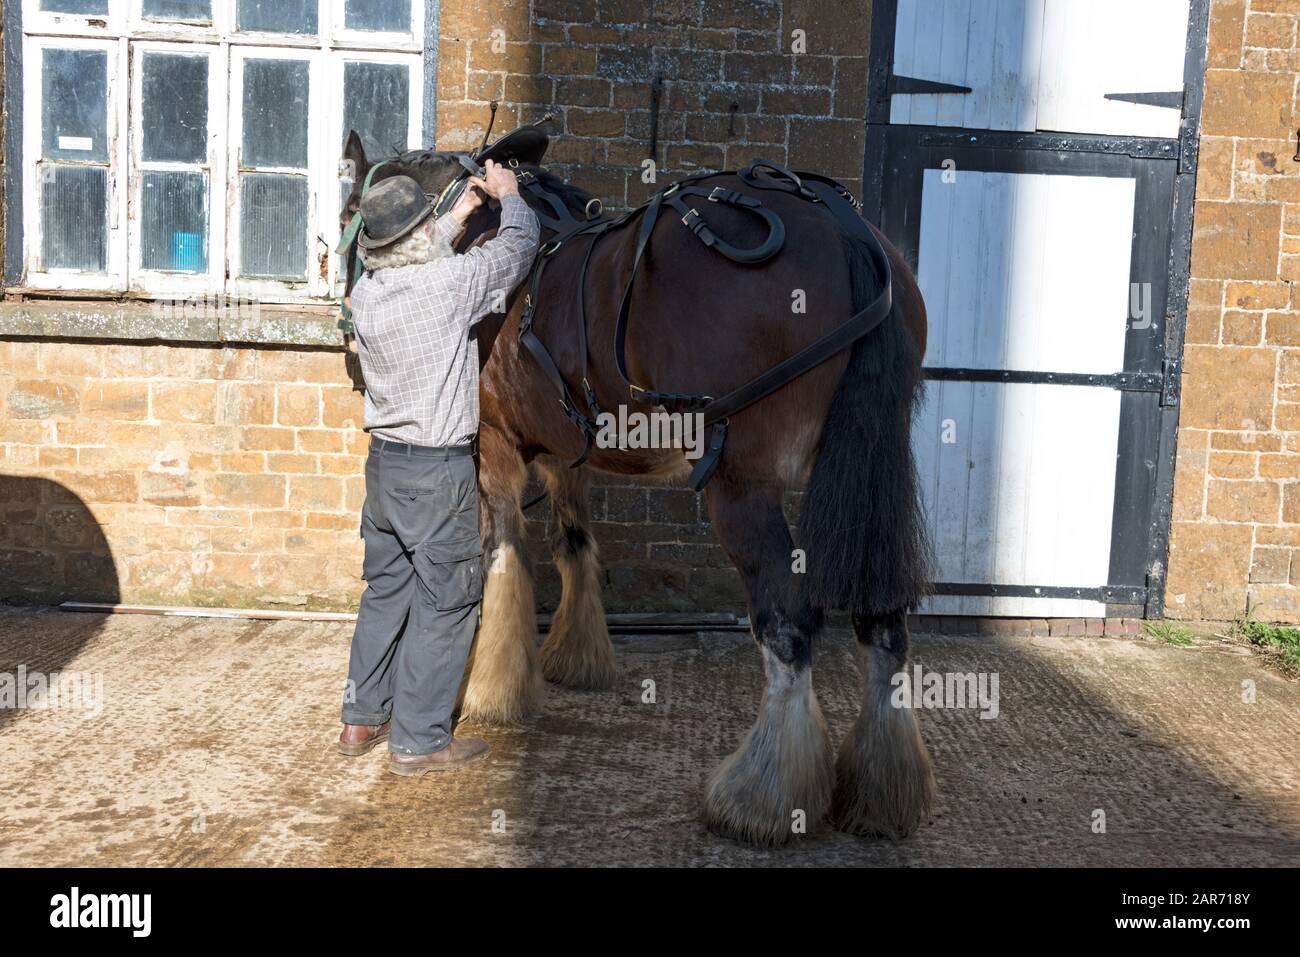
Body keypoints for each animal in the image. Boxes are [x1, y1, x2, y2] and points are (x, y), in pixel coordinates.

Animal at [343, 125, 935, 842]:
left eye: (348, 217)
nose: (352, 340)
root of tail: (842, 227)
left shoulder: (490, 445)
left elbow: (503, 560)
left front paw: (491, 688)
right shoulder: (566, 454)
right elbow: (575, 547)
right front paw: (577, 658)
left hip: (741, 482)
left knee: (788, 620)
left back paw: (761, 796)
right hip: (867, 468)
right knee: (884, 620)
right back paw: (884, 789)